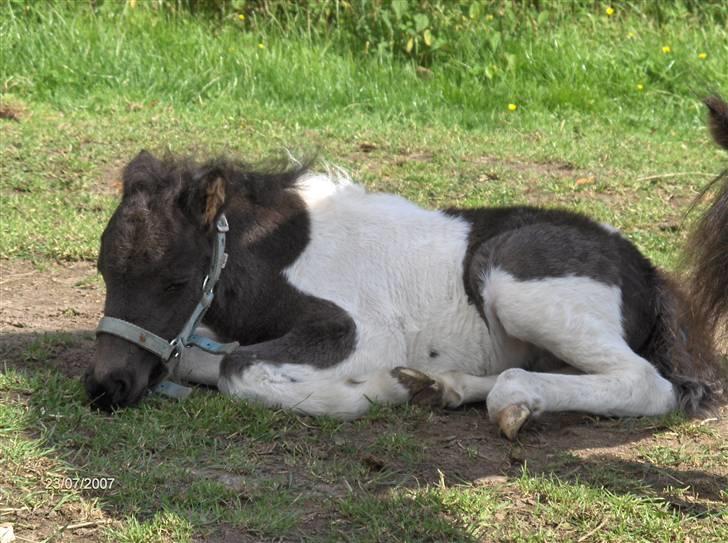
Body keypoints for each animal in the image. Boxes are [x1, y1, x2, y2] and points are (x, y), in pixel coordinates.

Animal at [88, 99, 724, 438]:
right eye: (103, 274)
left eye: (175, 281)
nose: (103, 388)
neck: (281, 253)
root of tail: (647, 270)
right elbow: (199, 358)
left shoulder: (362, 332)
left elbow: (238, 370)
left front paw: (372, 391)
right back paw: (443, 386)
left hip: (514, 283)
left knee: (646, 382)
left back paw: (498, 398)